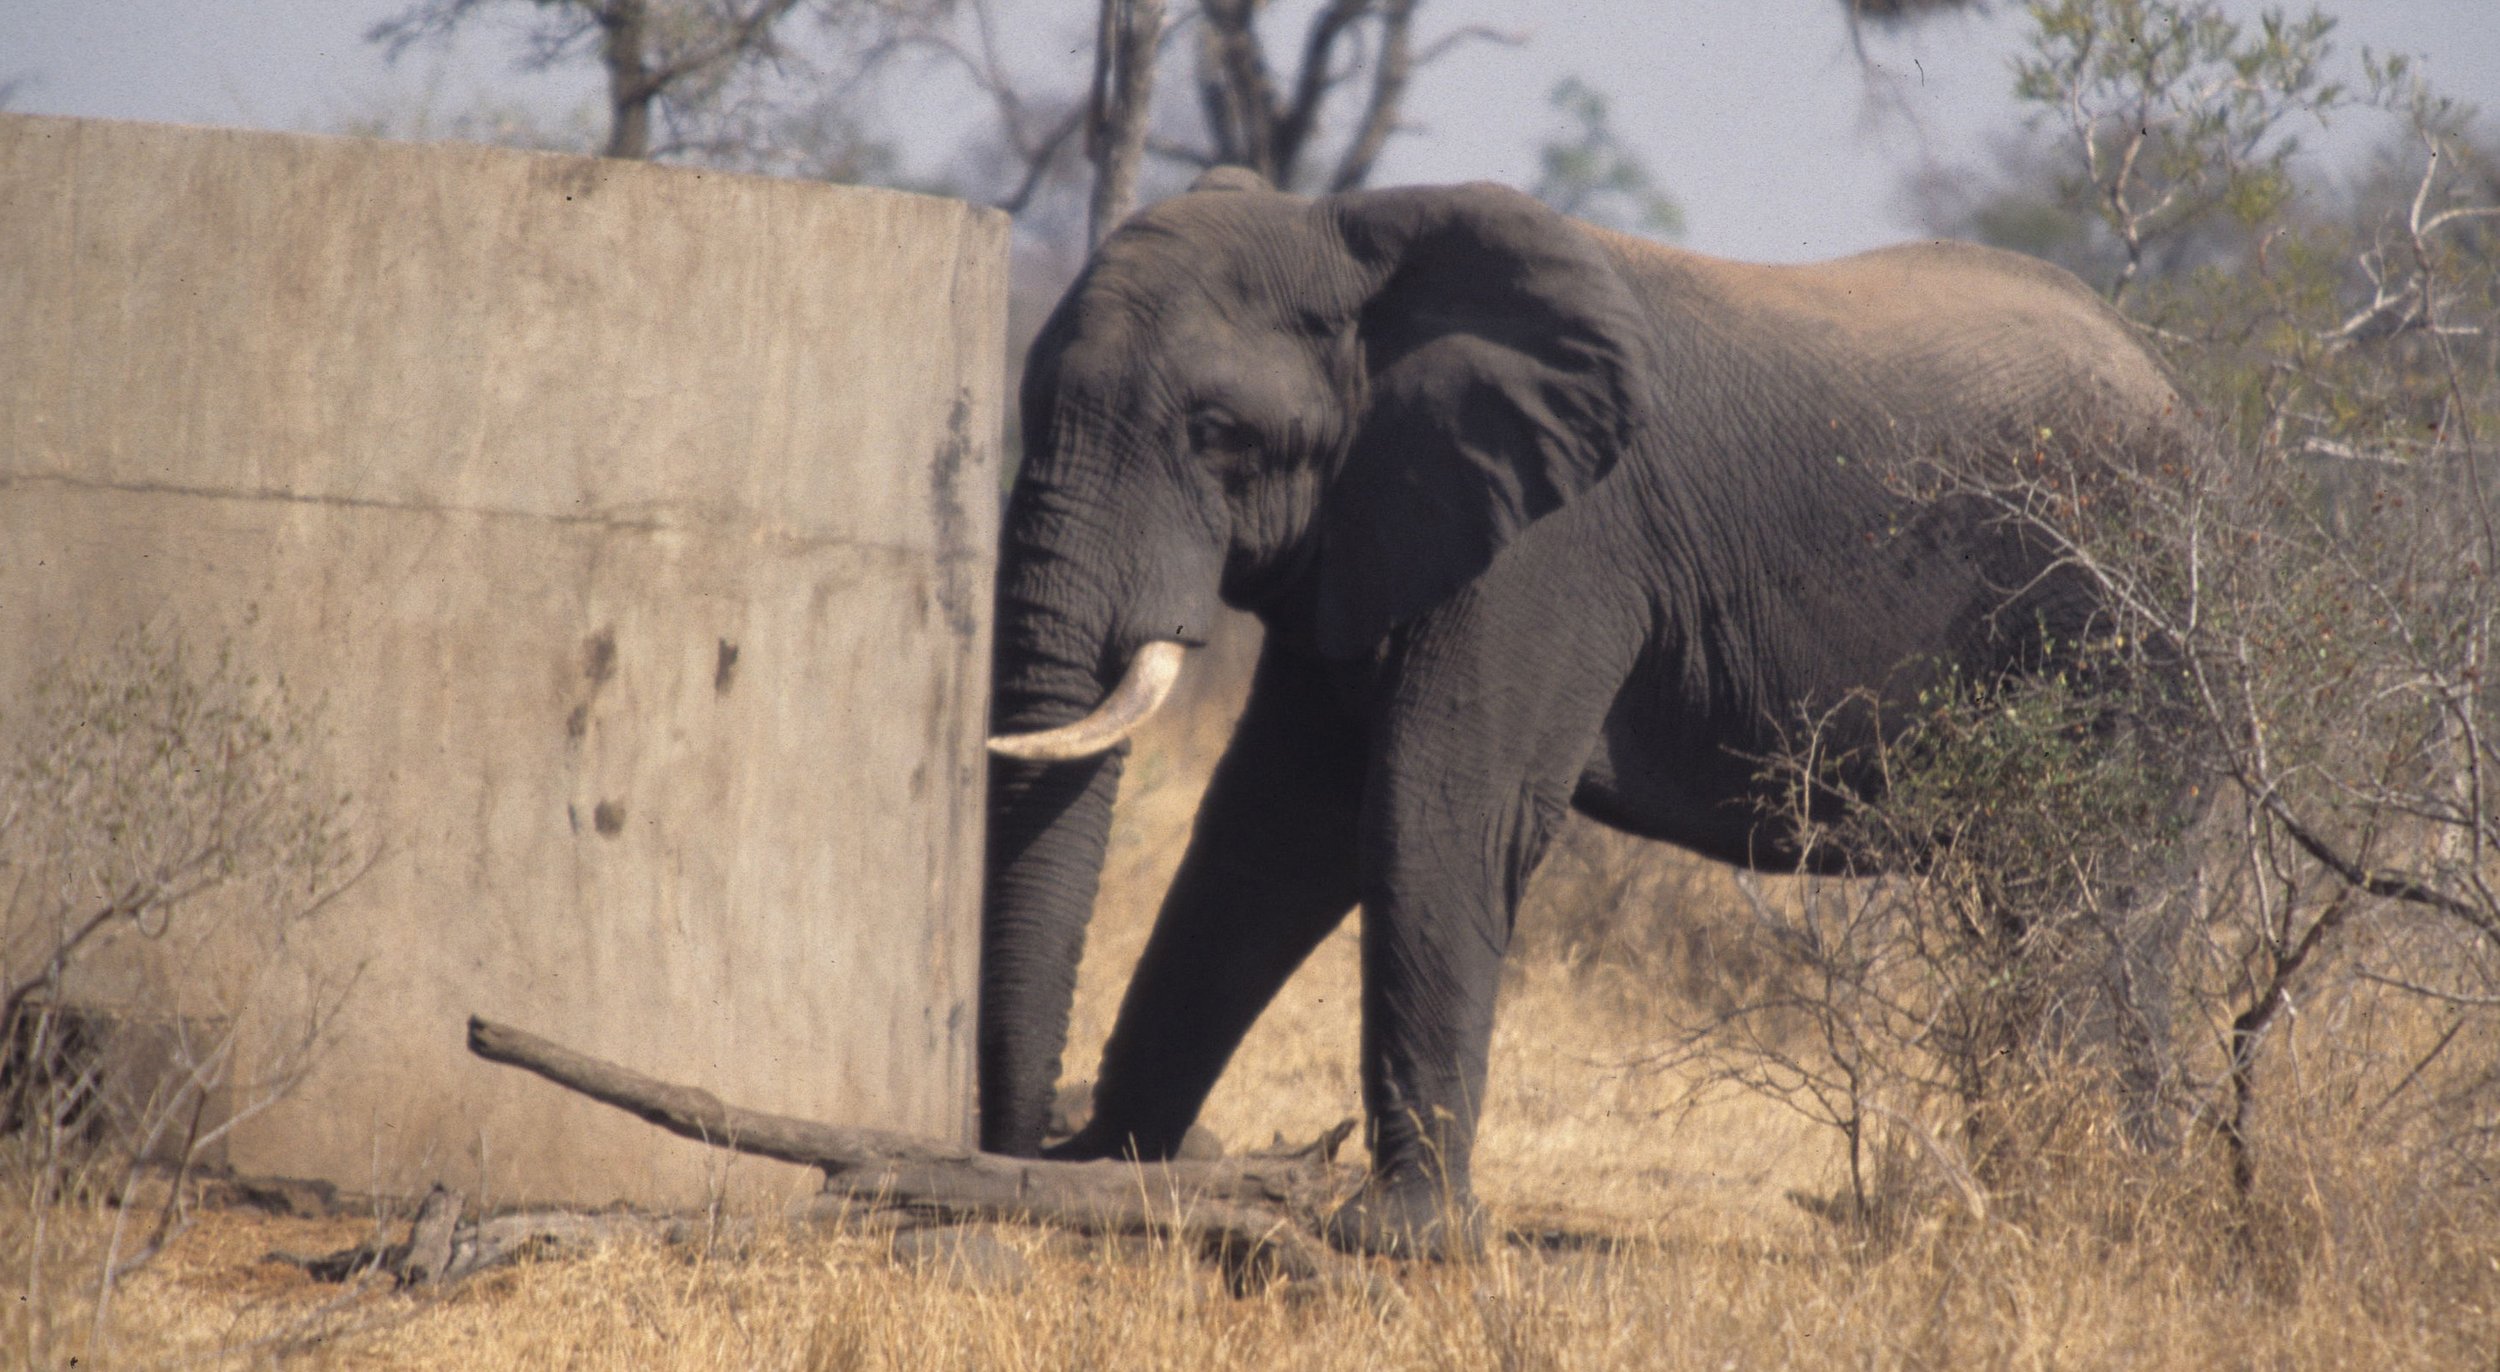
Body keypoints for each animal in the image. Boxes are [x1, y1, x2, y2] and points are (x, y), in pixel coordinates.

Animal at [979, 167, 2201, 1259]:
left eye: (1216, 432)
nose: (1015, 1157)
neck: (1350, 233)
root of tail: (2175, 389)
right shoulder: (1373, 528)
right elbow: (1272, 830)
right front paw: (1114, 1181)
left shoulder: (1556, 542)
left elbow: (1438, 809)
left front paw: (1403, 1243)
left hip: (2116, 615)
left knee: (2090, 896)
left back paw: (2095, 1213)